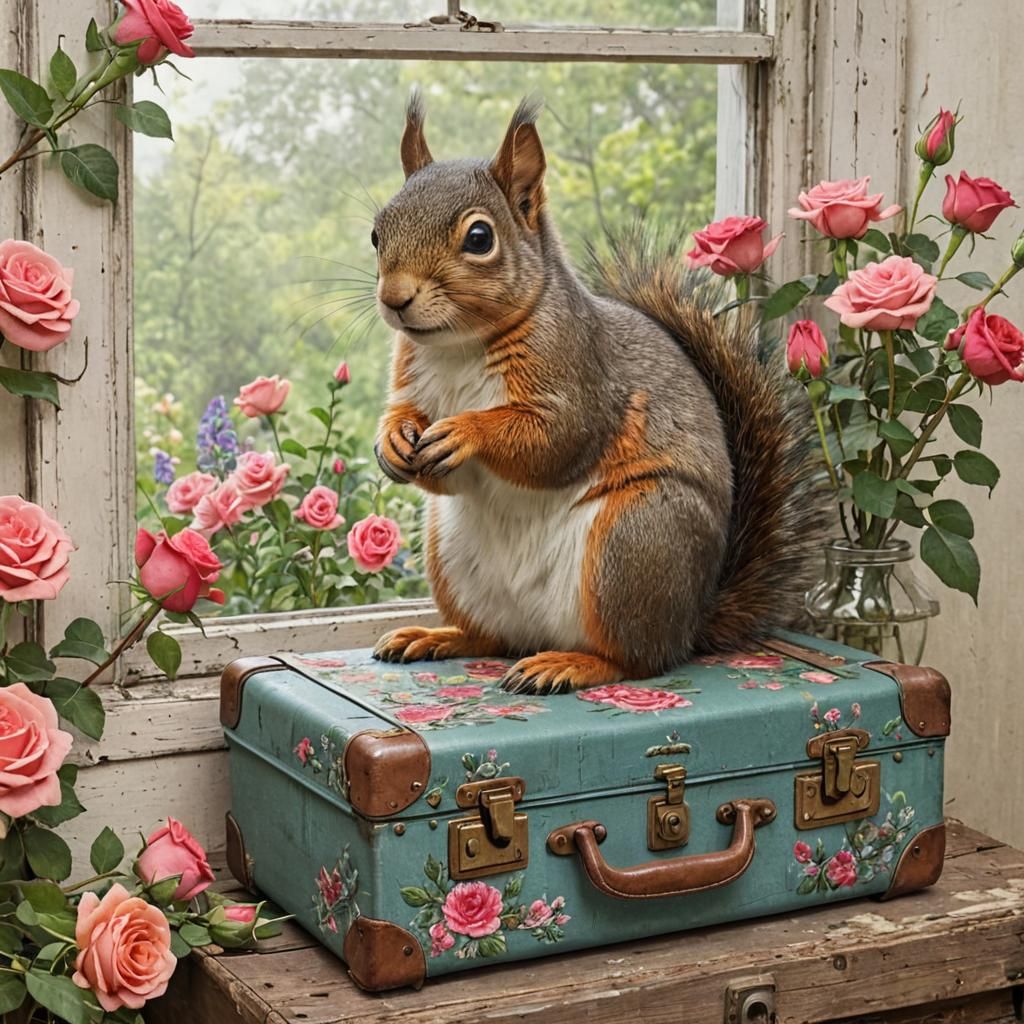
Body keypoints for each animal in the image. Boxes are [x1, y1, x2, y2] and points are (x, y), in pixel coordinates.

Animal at [370, 92, 823, 695]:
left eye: (479, 238)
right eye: (377, 233)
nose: (394, 298)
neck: (459, 346)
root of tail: (692, 621)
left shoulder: (581, 374)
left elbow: (556, 441)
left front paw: (468, 431)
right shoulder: (414, 382)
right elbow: (424, 441)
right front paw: (393, 442)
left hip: (634, 540)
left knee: (637, 659)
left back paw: (570, 664)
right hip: (453, 558)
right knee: (492, 637)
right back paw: (436, 636)